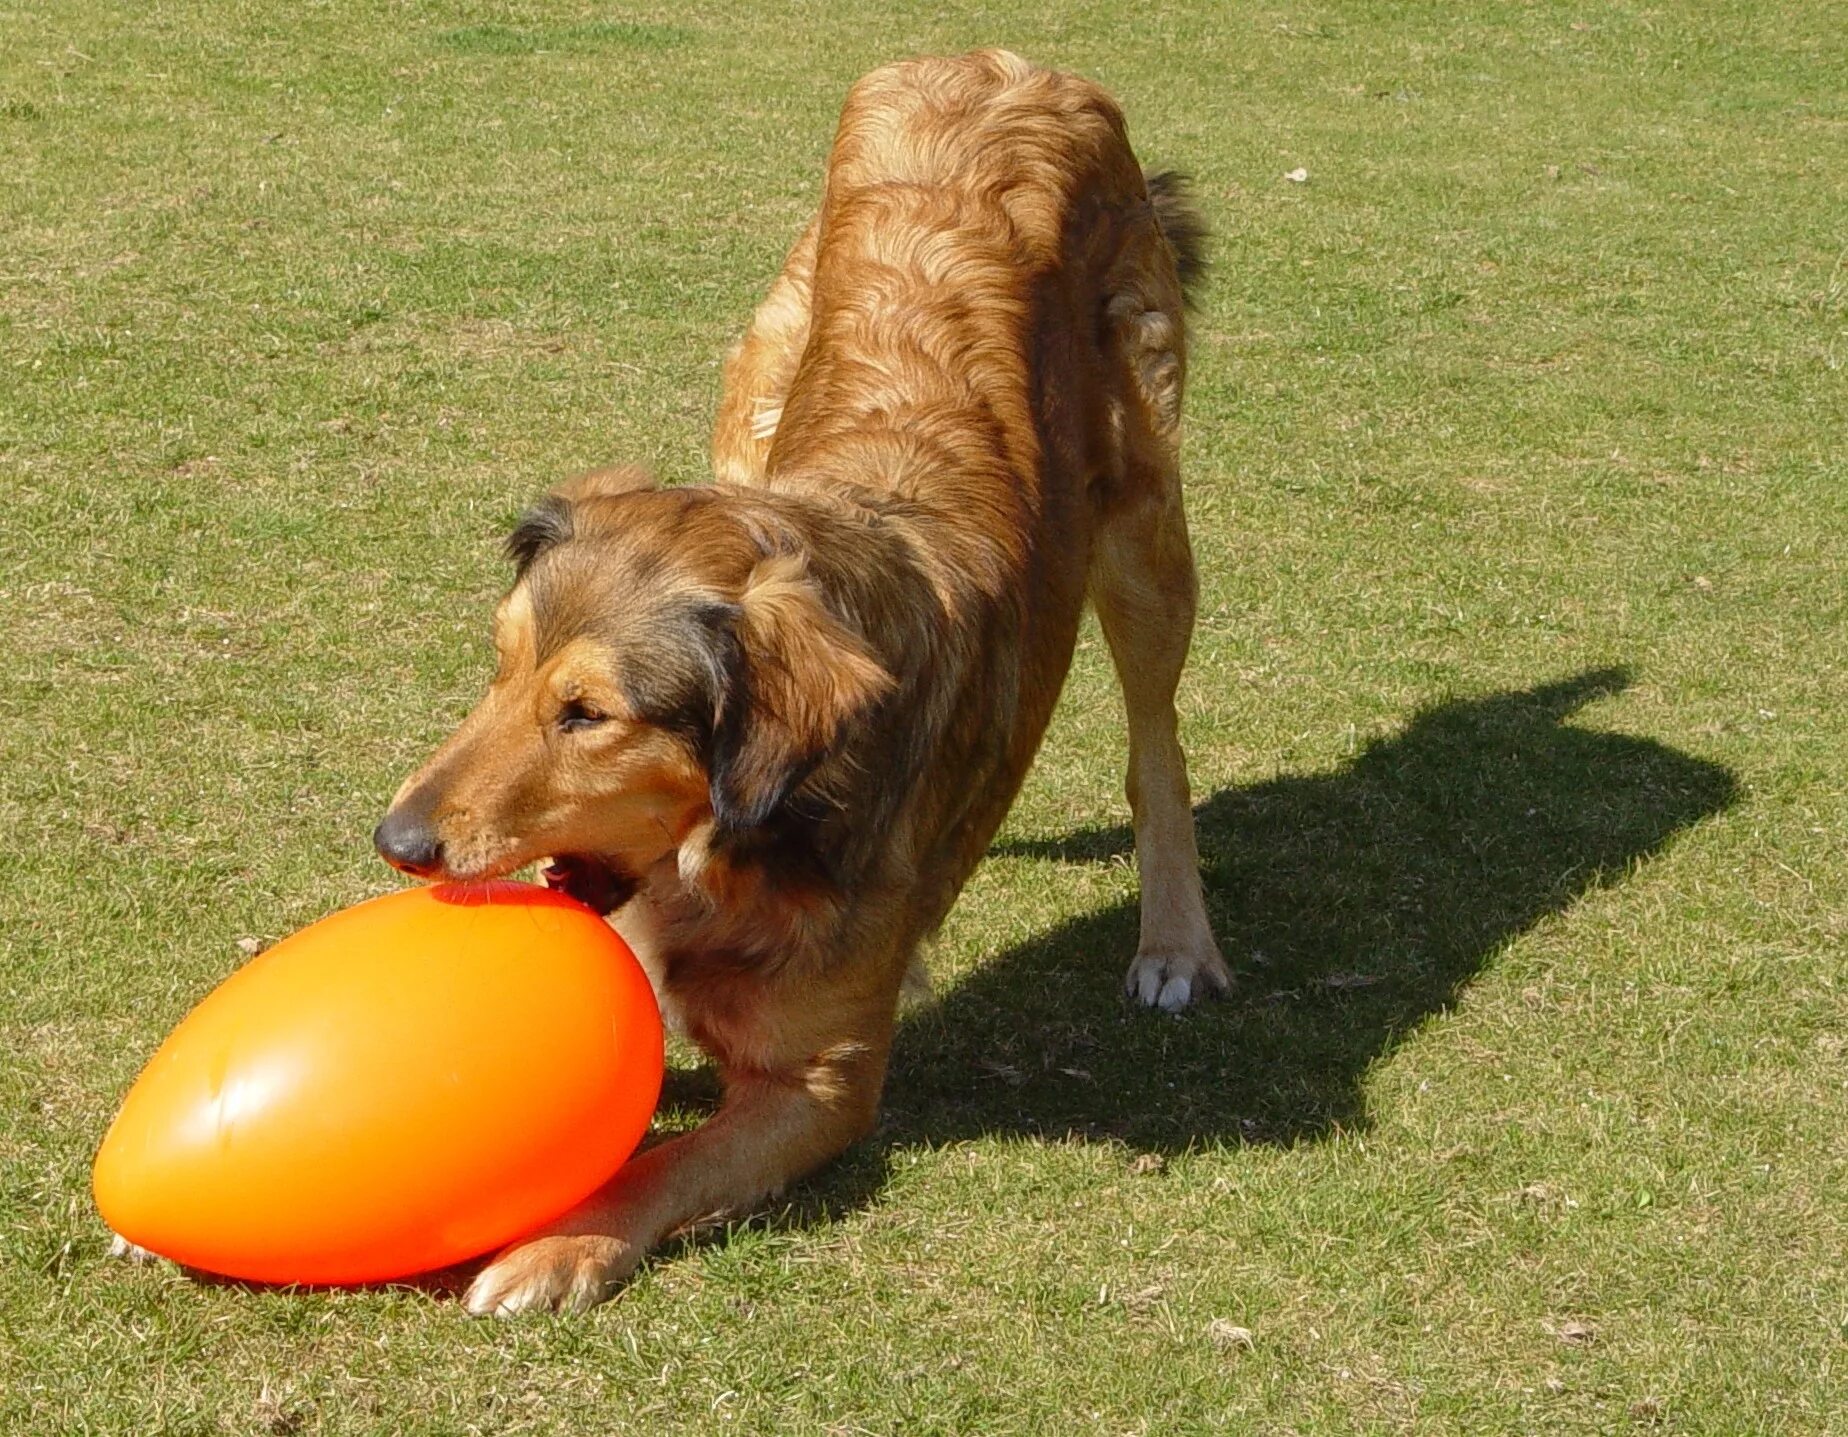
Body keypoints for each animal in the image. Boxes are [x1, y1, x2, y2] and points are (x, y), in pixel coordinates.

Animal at [373, 50, 1227, 1307]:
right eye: (500, 665)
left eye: (588, 714)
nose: (398, 843)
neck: (731, 850)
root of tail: (998, 64)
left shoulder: (821, 1084)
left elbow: (662, 1166)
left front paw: (554, 1244)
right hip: (760, 388)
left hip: (1143, 516)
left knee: (1156, 745)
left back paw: (1174, 943)